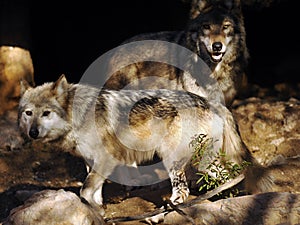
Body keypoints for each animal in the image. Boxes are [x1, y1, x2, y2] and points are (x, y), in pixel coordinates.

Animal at [18, 74, 272, 214]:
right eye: (29, 113)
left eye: (46, 113)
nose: (32, 133)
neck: (76, 115)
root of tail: (212, 103)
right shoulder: (92, 163)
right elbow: (94, 192)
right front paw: (98, 212)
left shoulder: (107, 158)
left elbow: (86, 190)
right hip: (203, 162)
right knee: (228, 177)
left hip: (177, 160)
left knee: (184, 191)